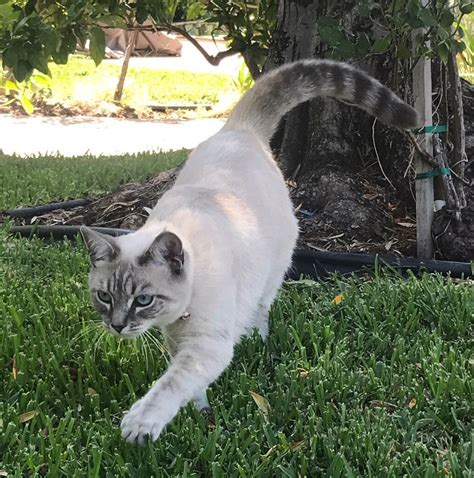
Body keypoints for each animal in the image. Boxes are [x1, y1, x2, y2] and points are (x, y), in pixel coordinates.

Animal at [81, 59, 418, 444]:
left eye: (143, 300)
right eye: (104, 297)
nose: (118, 326)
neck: (179, 317)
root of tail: (238, 129)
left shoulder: (208, 346)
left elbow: (170, 384)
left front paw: (141, 424)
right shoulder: (177, 341)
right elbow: (187, 385)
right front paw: (199, 413)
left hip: (272, 272)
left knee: (261, 309)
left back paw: (258, 340)